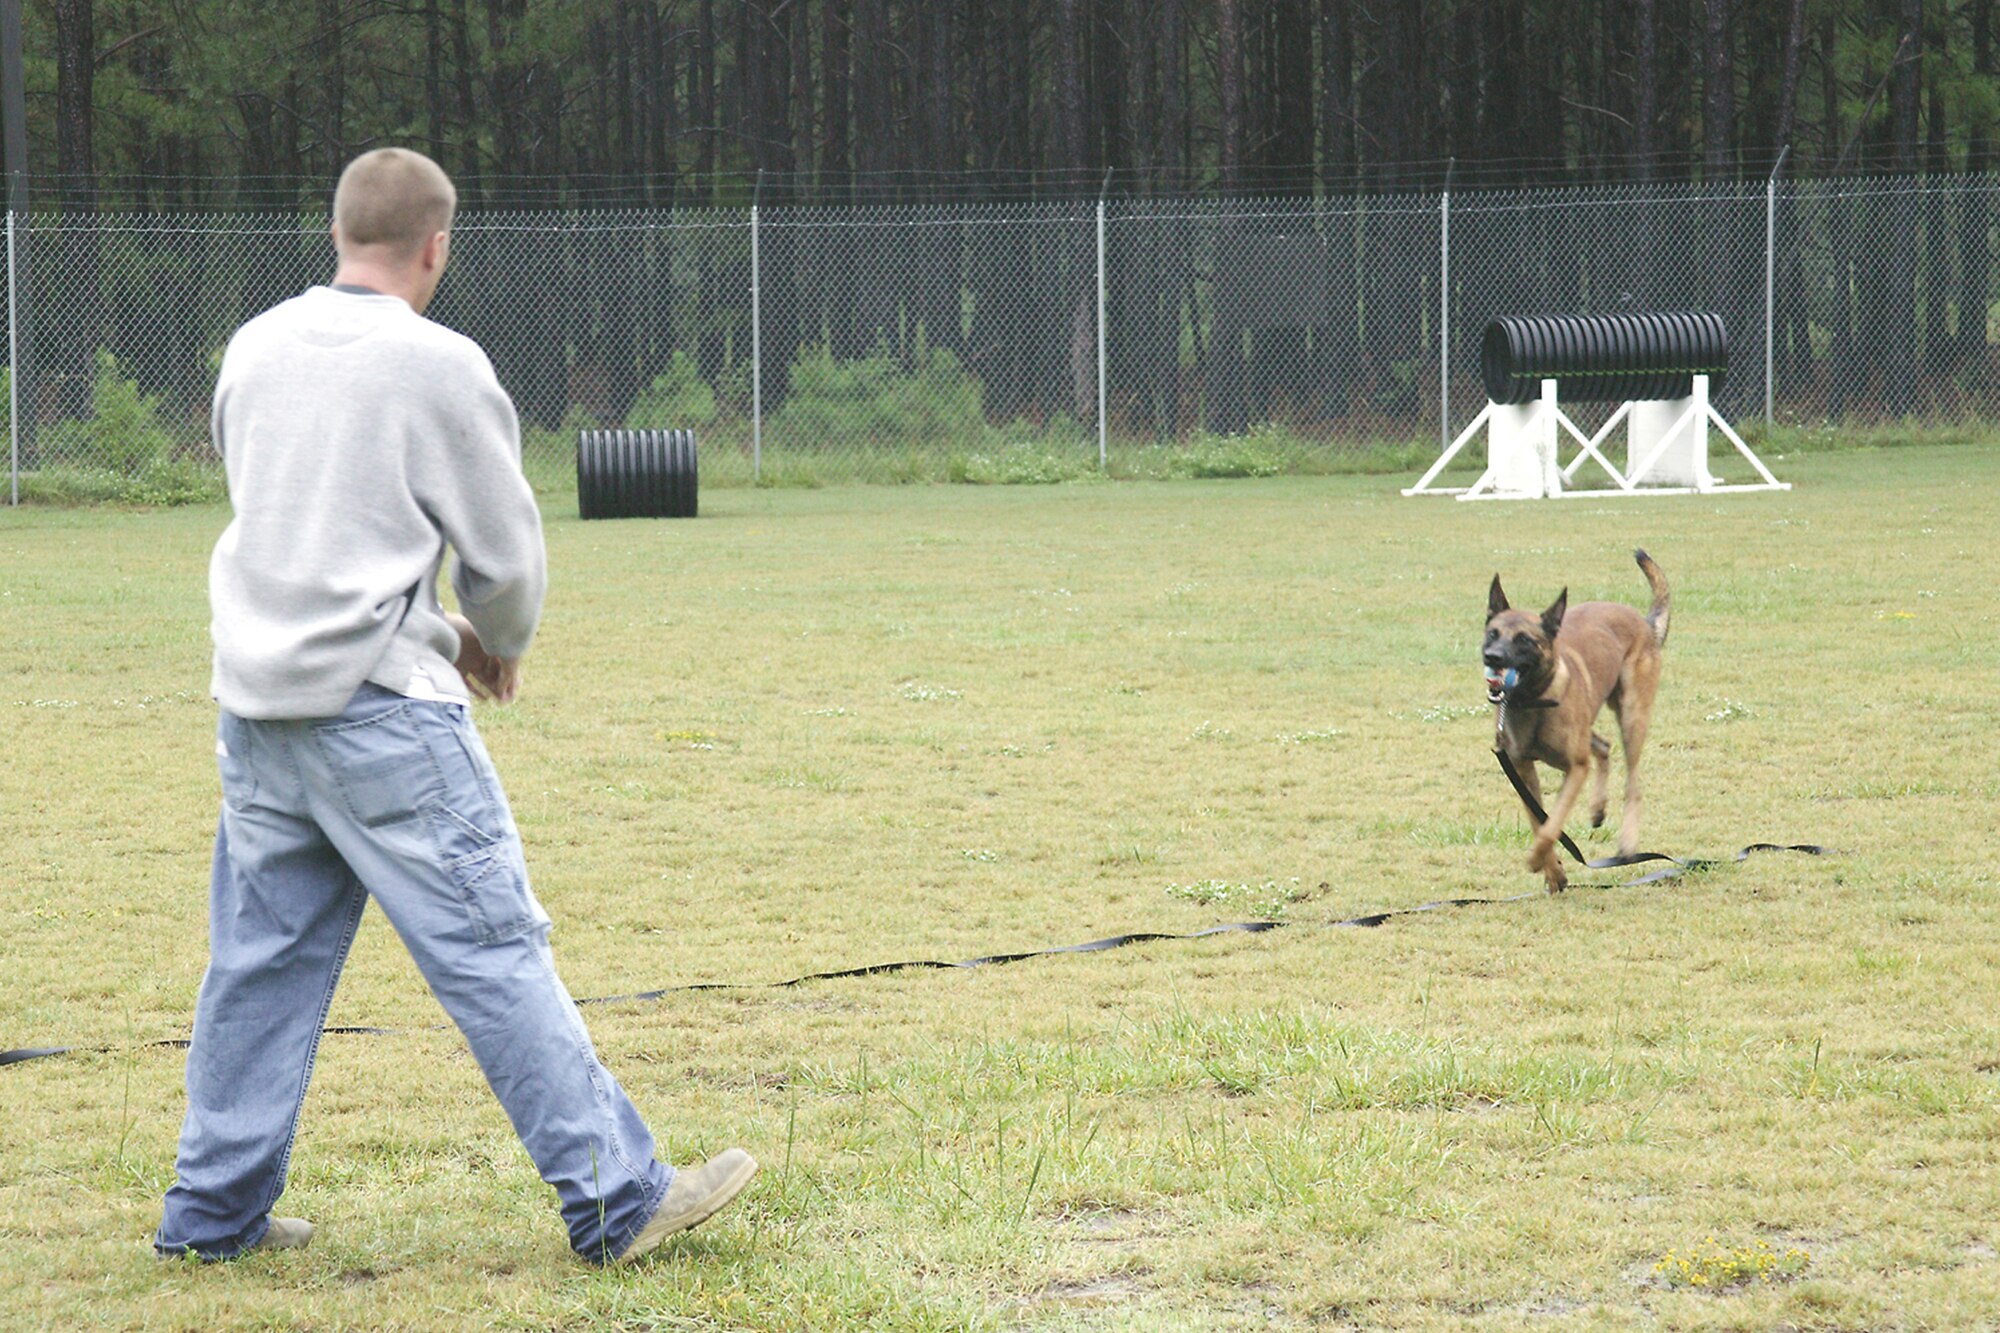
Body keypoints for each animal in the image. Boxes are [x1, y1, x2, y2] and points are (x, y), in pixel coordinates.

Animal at [1488, 544, 1672, 888]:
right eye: (1491, 634)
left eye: (1524, 639)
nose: (1492, 658)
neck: (1532, 702)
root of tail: (1642, 621)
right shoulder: (1522, 769)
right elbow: (1537, 821)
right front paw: (1554, 872)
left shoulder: (1575, 768)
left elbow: (1551, 825)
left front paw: (1537, 859)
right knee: (1603, 746)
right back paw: (1598, 808)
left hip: (1632, 715)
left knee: (1632, 782)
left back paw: (1628, 842)